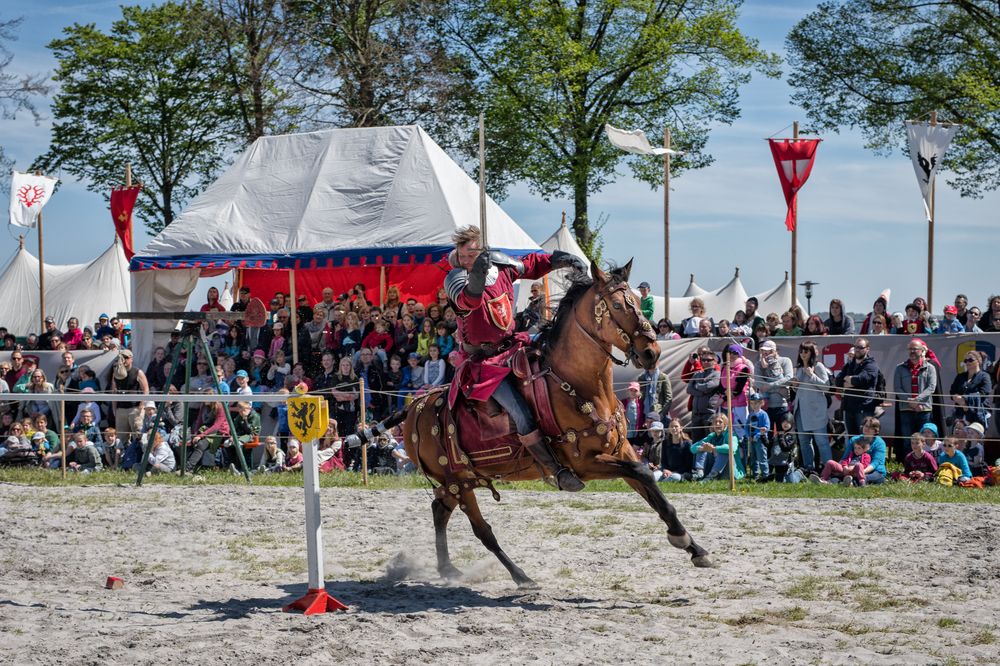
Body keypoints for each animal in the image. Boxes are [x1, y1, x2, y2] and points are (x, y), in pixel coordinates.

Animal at [352, 260, 712, 588]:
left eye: (639, 301)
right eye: (619, 305)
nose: (651, 352)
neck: (577, 383)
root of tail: (415, 407)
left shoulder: (621, 451)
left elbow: (653, 491)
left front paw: (692, 546)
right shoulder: (586, 463)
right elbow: (643, 475)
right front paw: (684, 540)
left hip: (457, 482)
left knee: (439, 510)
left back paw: (448, 570)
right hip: (458, 482)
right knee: (480, 530)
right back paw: (519, 576)